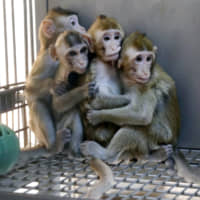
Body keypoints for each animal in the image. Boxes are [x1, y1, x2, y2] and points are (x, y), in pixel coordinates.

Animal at [24, 7, 88, 152]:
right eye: (73, 23)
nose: (83, 28)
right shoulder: (47, 59)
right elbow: (30, 88)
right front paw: (53, 85)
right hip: (43, 135)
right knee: (37, 104)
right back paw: (54, 145)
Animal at [80, 32, 180, 165]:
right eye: (139, 59)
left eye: (148, 59)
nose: (145, 72)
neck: (128, 77)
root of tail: (174, 141)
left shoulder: (146, 85)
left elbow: (142, 115)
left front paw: (98, 116)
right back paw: (154, 156)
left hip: (160, 137)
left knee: (135, 126)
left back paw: (105, 154)